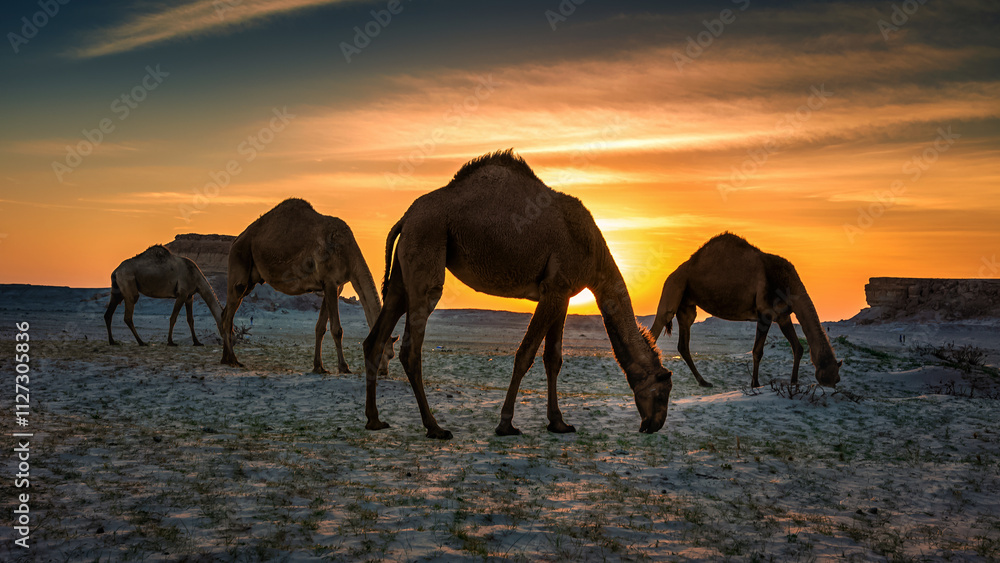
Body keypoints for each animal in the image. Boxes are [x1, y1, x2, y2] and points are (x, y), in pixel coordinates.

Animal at [220, 198, 395, 374]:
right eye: (389, 354)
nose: (383, 371)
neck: (348, 254)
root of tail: (236, 240)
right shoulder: (330, 281)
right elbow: (337, 329)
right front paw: (344, 367)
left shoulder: (335, 285)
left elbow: (321, 328)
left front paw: (319, 366)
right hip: (240, 260)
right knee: (229, 314)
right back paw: (233, 360)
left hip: (250, 279)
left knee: (225, 313)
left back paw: (225, 358)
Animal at [362, 149, 673, 440]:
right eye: (663, 392)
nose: (655, 425)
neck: (594, 253)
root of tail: (405, 218)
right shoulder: (554, 289)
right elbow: (525, 354)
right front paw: (506, 424)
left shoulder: (562, 294)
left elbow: (554, 358)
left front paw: (559, 423)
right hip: (428, 244)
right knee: (411, 346)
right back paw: (435, 427)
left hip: (404, 270)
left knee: (376, 336)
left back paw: (374, 420)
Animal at [650, 233, 841, 388]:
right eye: (831, 377)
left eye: (836, 377)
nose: (833, 385)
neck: (788, 283)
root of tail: (676, 271)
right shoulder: (765, 313)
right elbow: (758, 351)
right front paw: (755, 384)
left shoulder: (783, 316)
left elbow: (798, 347)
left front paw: (794, 382)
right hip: (674, 286)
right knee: (659, 324)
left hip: (687, 304)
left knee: (683, 343)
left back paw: (704, 382)